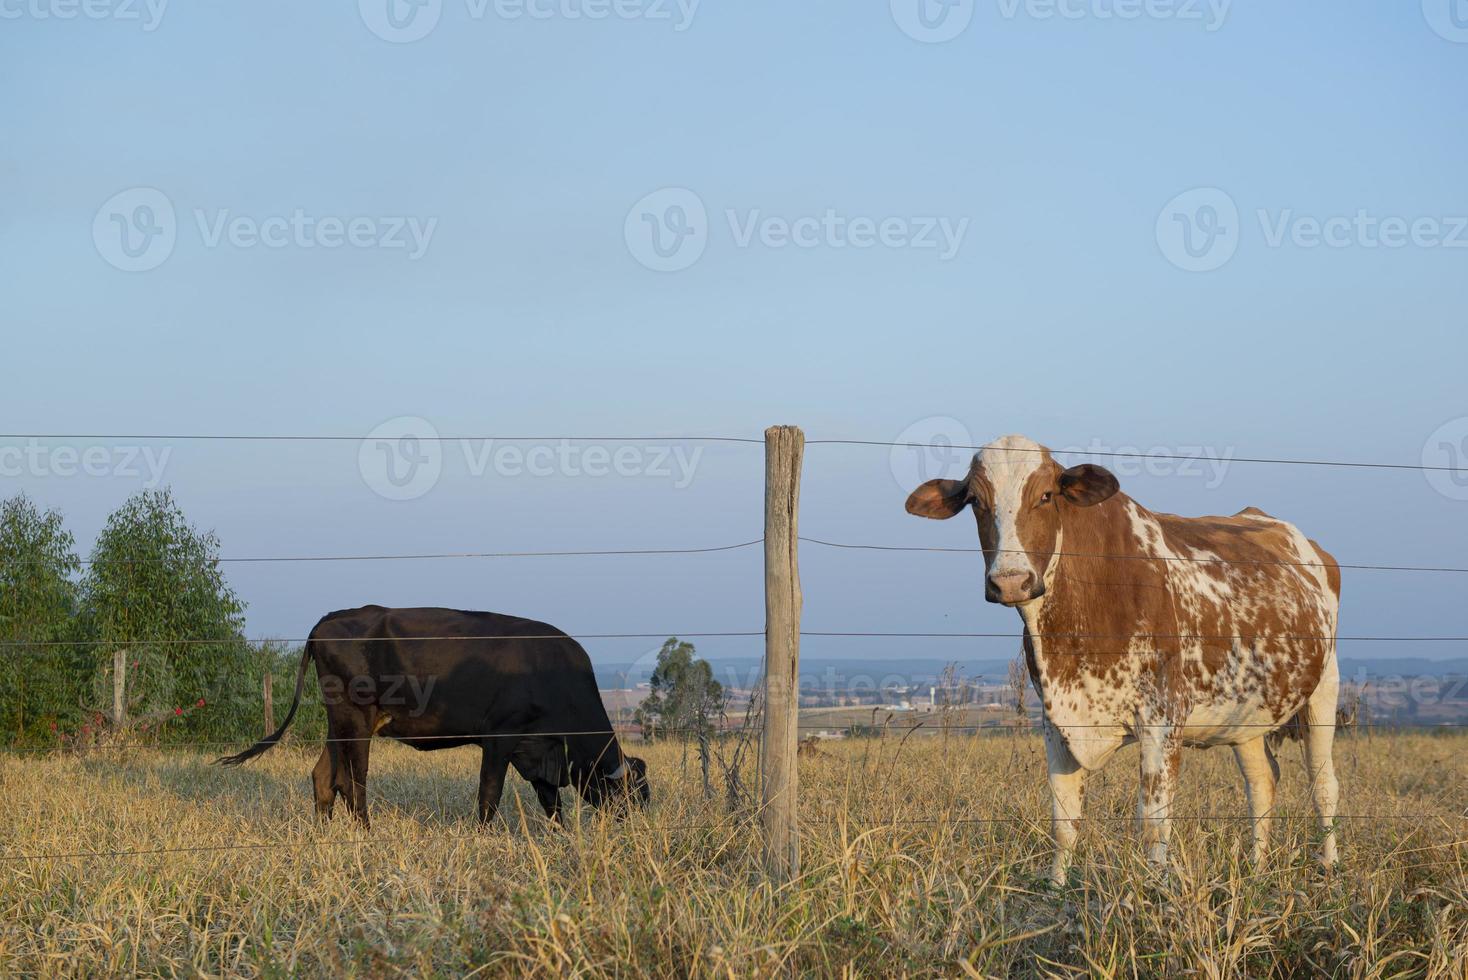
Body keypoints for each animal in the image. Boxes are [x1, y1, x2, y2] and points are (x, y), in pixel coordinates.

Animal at [215, 604, 648, 827]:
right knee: (352, 780)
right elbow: (489, 796)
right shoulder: (499, 737)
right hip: (355, 717)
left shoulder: (539, 749)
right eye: (630, 794)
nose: (640, 829)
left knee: (325, 776)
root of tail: (333, 616)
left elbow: (551, 802)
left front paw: (561, 836)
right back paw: (365, 832)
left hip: (337, 722)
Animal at [904, 434, 1344, 880]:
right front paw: (1056, 884)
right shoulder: (1057, 720)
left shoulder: (1163, 717)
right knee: (1262, 781)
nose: (1010, 581)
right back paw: (1256, 867)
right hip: (1245, 712)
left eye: (1045, 495)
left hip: (1325, 686)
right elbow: (1064, 820)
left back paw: (1329, 864)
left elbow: (1153, 821)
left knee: (1323, 783)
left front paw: (1155, 885)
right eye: (976, 500)